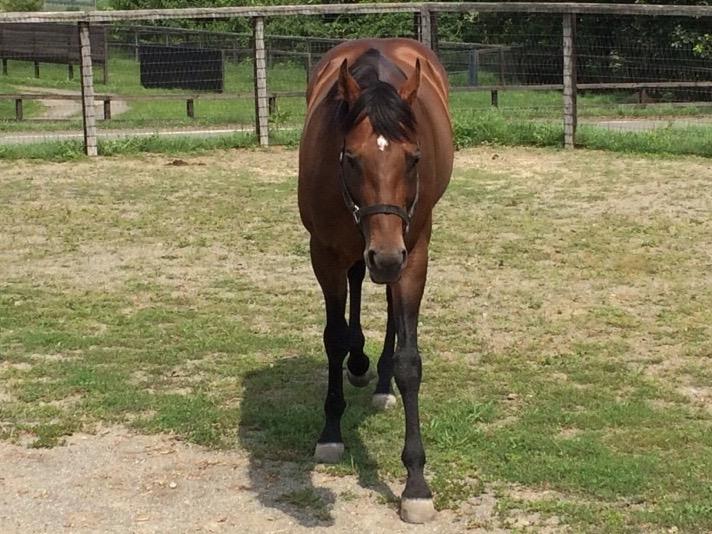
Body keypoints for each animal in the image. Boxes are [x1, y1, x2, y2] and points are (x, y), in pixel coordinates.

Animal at [297, 38, 454, 523]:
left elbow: (409, 362)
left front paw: (416, 484)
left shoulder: (414, 253)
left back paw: (380, 380)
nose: (385, 256)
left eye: (415, 158)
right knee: (356, 282)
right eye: (350, 157)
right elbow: (333, 337)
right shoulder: (324, 252)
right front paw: (330, 430)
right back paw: (360, 362)